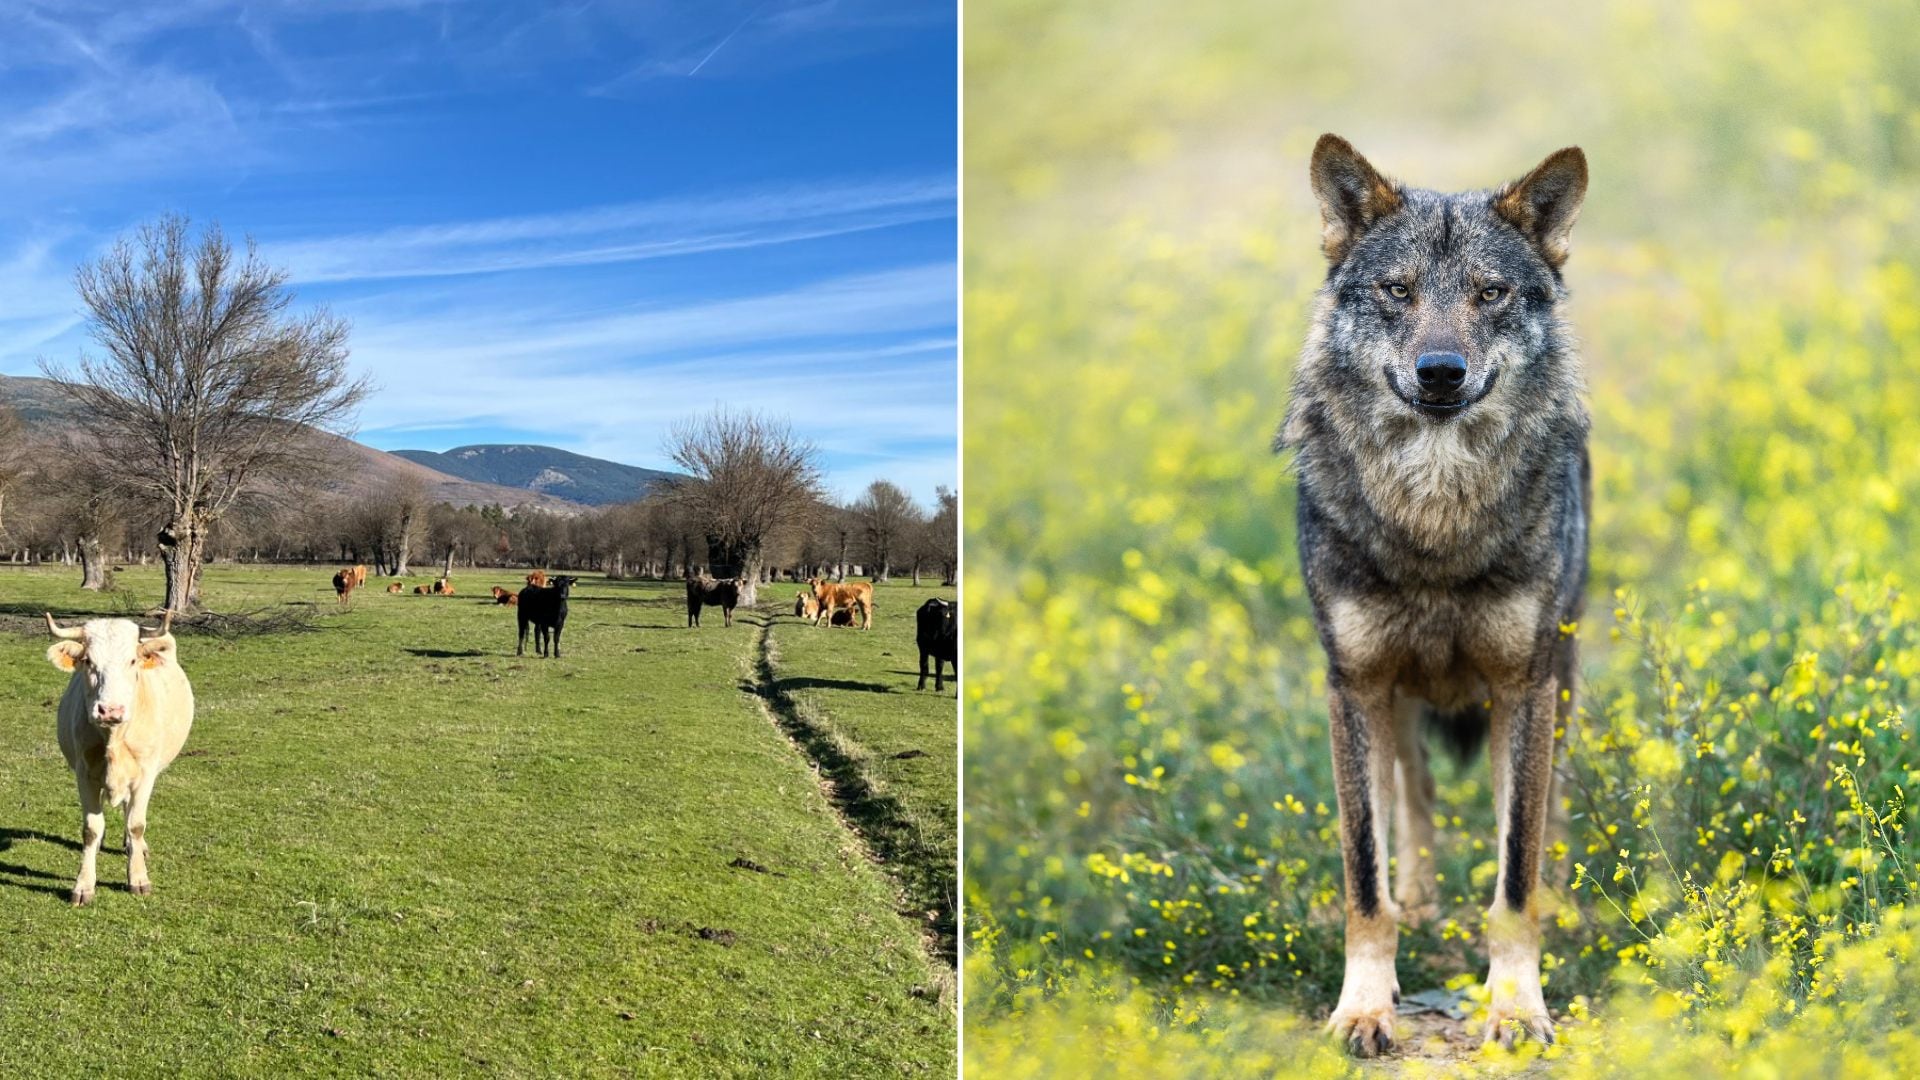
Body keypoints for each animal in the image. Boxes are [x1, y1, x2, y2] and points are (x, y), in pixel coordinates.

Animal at [1276, 134, 1590, 1056]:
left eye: (1490, 293)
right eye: (1397, 291)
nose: (1441, 372)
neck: (1435, 523)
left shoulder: (1524, 685)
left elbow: (1515, 871)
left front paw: (1516, 1007)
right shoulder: (1355, 686)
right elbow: (1364, 874)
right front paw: (1364, 1007)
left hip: (1558, 676)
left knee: (1543, 809)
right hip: (1400, 698)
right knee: (1410, 794)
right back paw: (1418, 897)